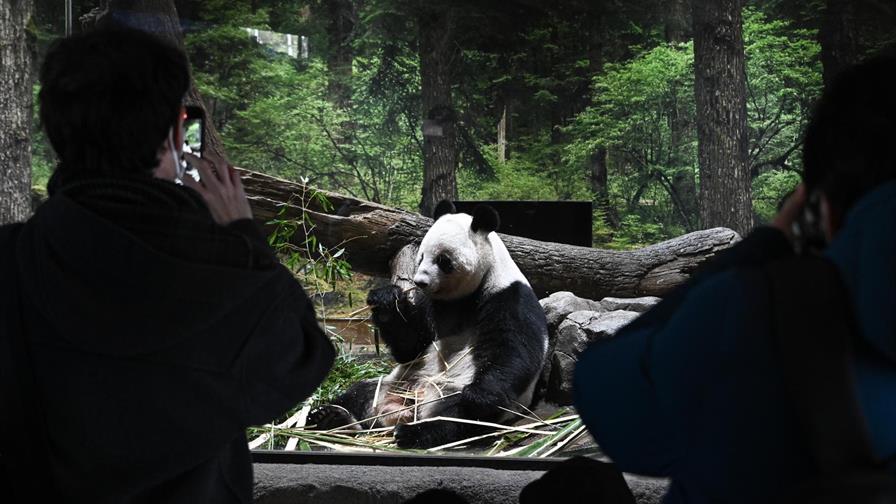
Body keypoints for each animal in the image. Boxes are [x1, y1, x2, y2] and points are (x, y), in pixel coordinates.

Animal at [308, 201, 549, 449]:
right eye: (421, 256)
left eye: (443, 260)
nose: (420, 281)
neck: (463, 297)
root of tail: (405, 409)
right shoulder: (430, 304)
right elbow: (412, 346)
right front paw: (386, 300)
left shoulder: (508, 296)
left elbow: (512, 350)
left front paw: (480, 395)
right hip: (393, 383)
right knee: (360, 393)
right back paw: (331, 417)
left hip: (451, 391)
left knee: (458, 417)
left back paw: (414, 432)